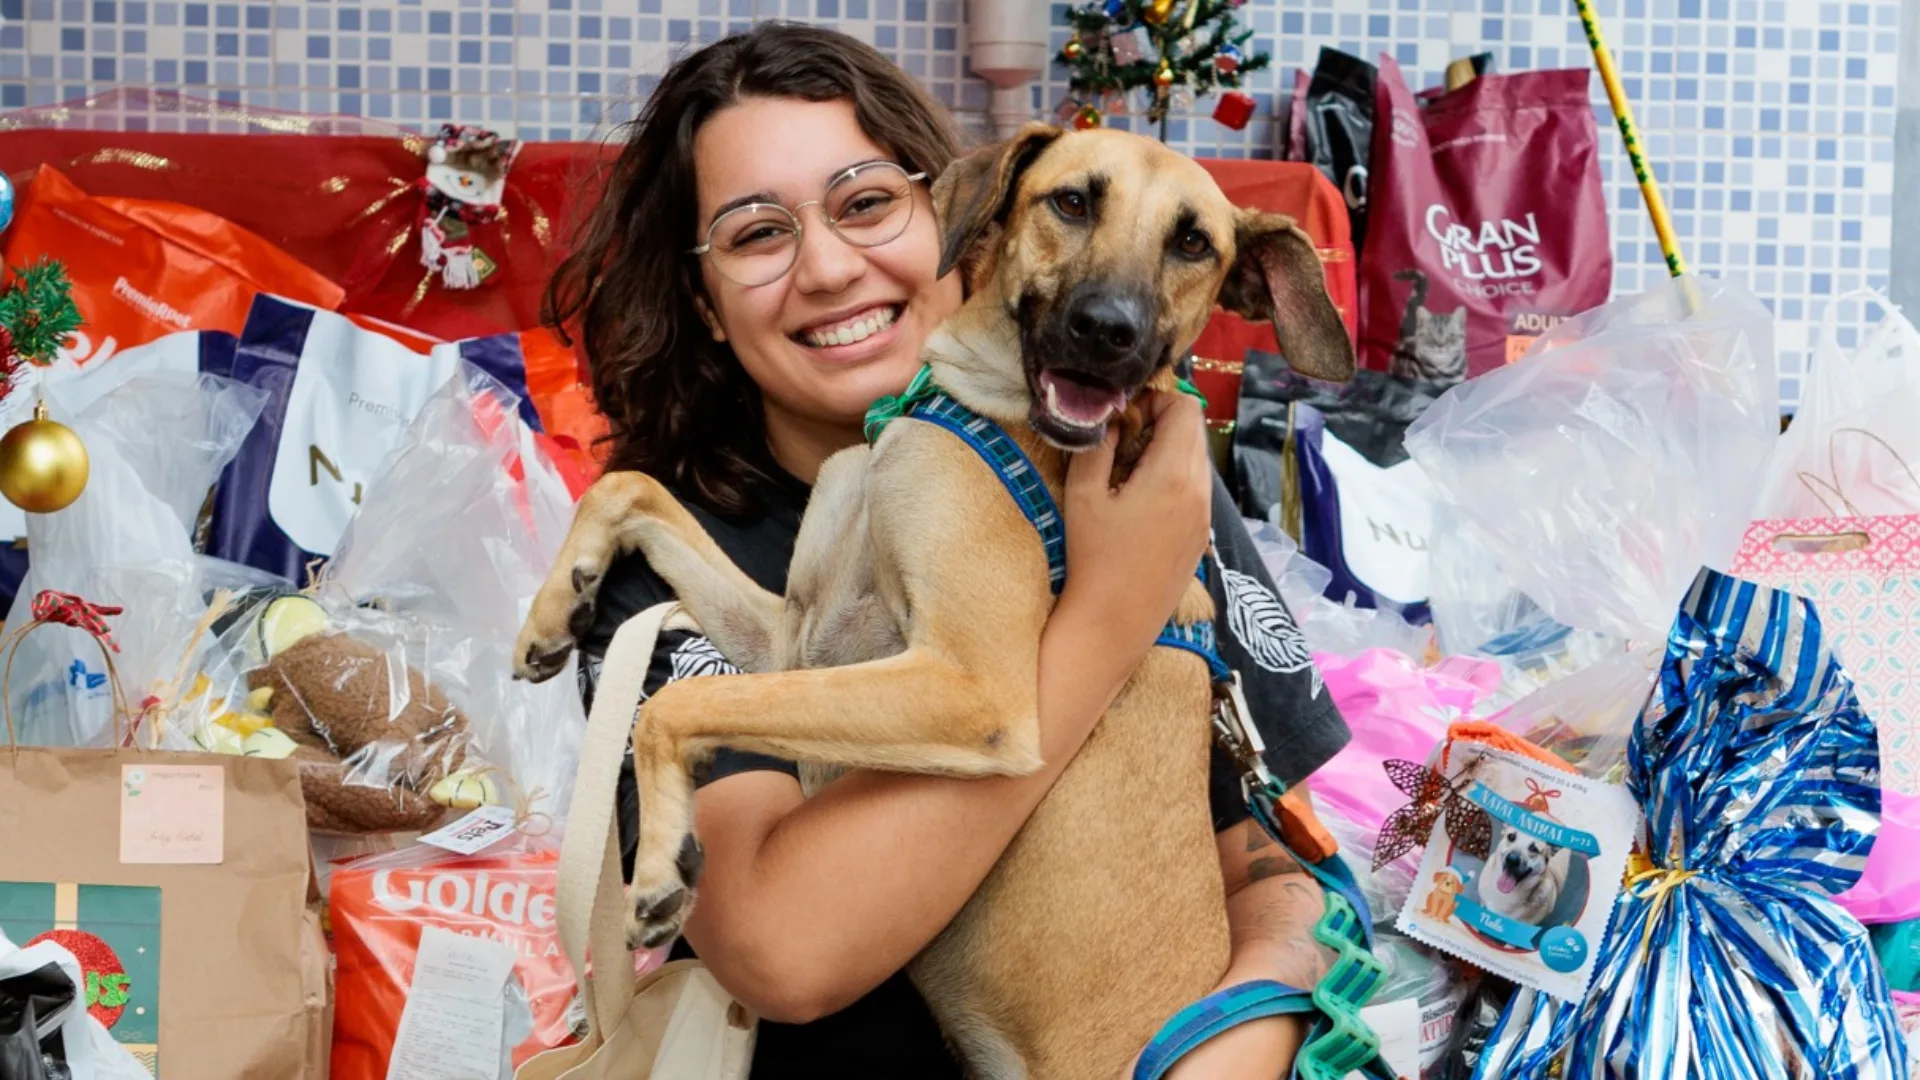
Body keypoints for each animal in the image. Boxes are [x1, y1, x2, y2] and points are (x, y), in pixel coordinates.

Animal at [514, 122, 1351, 1068]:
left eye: (1193, 243)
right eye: (1072, 201)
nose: (1109, 331)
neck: (973, 406)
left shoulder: (969, 691)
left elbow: (674, 705)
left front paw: (661, 859)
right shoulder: (792, 636)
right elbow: (631, 488)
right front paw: (557, 607)